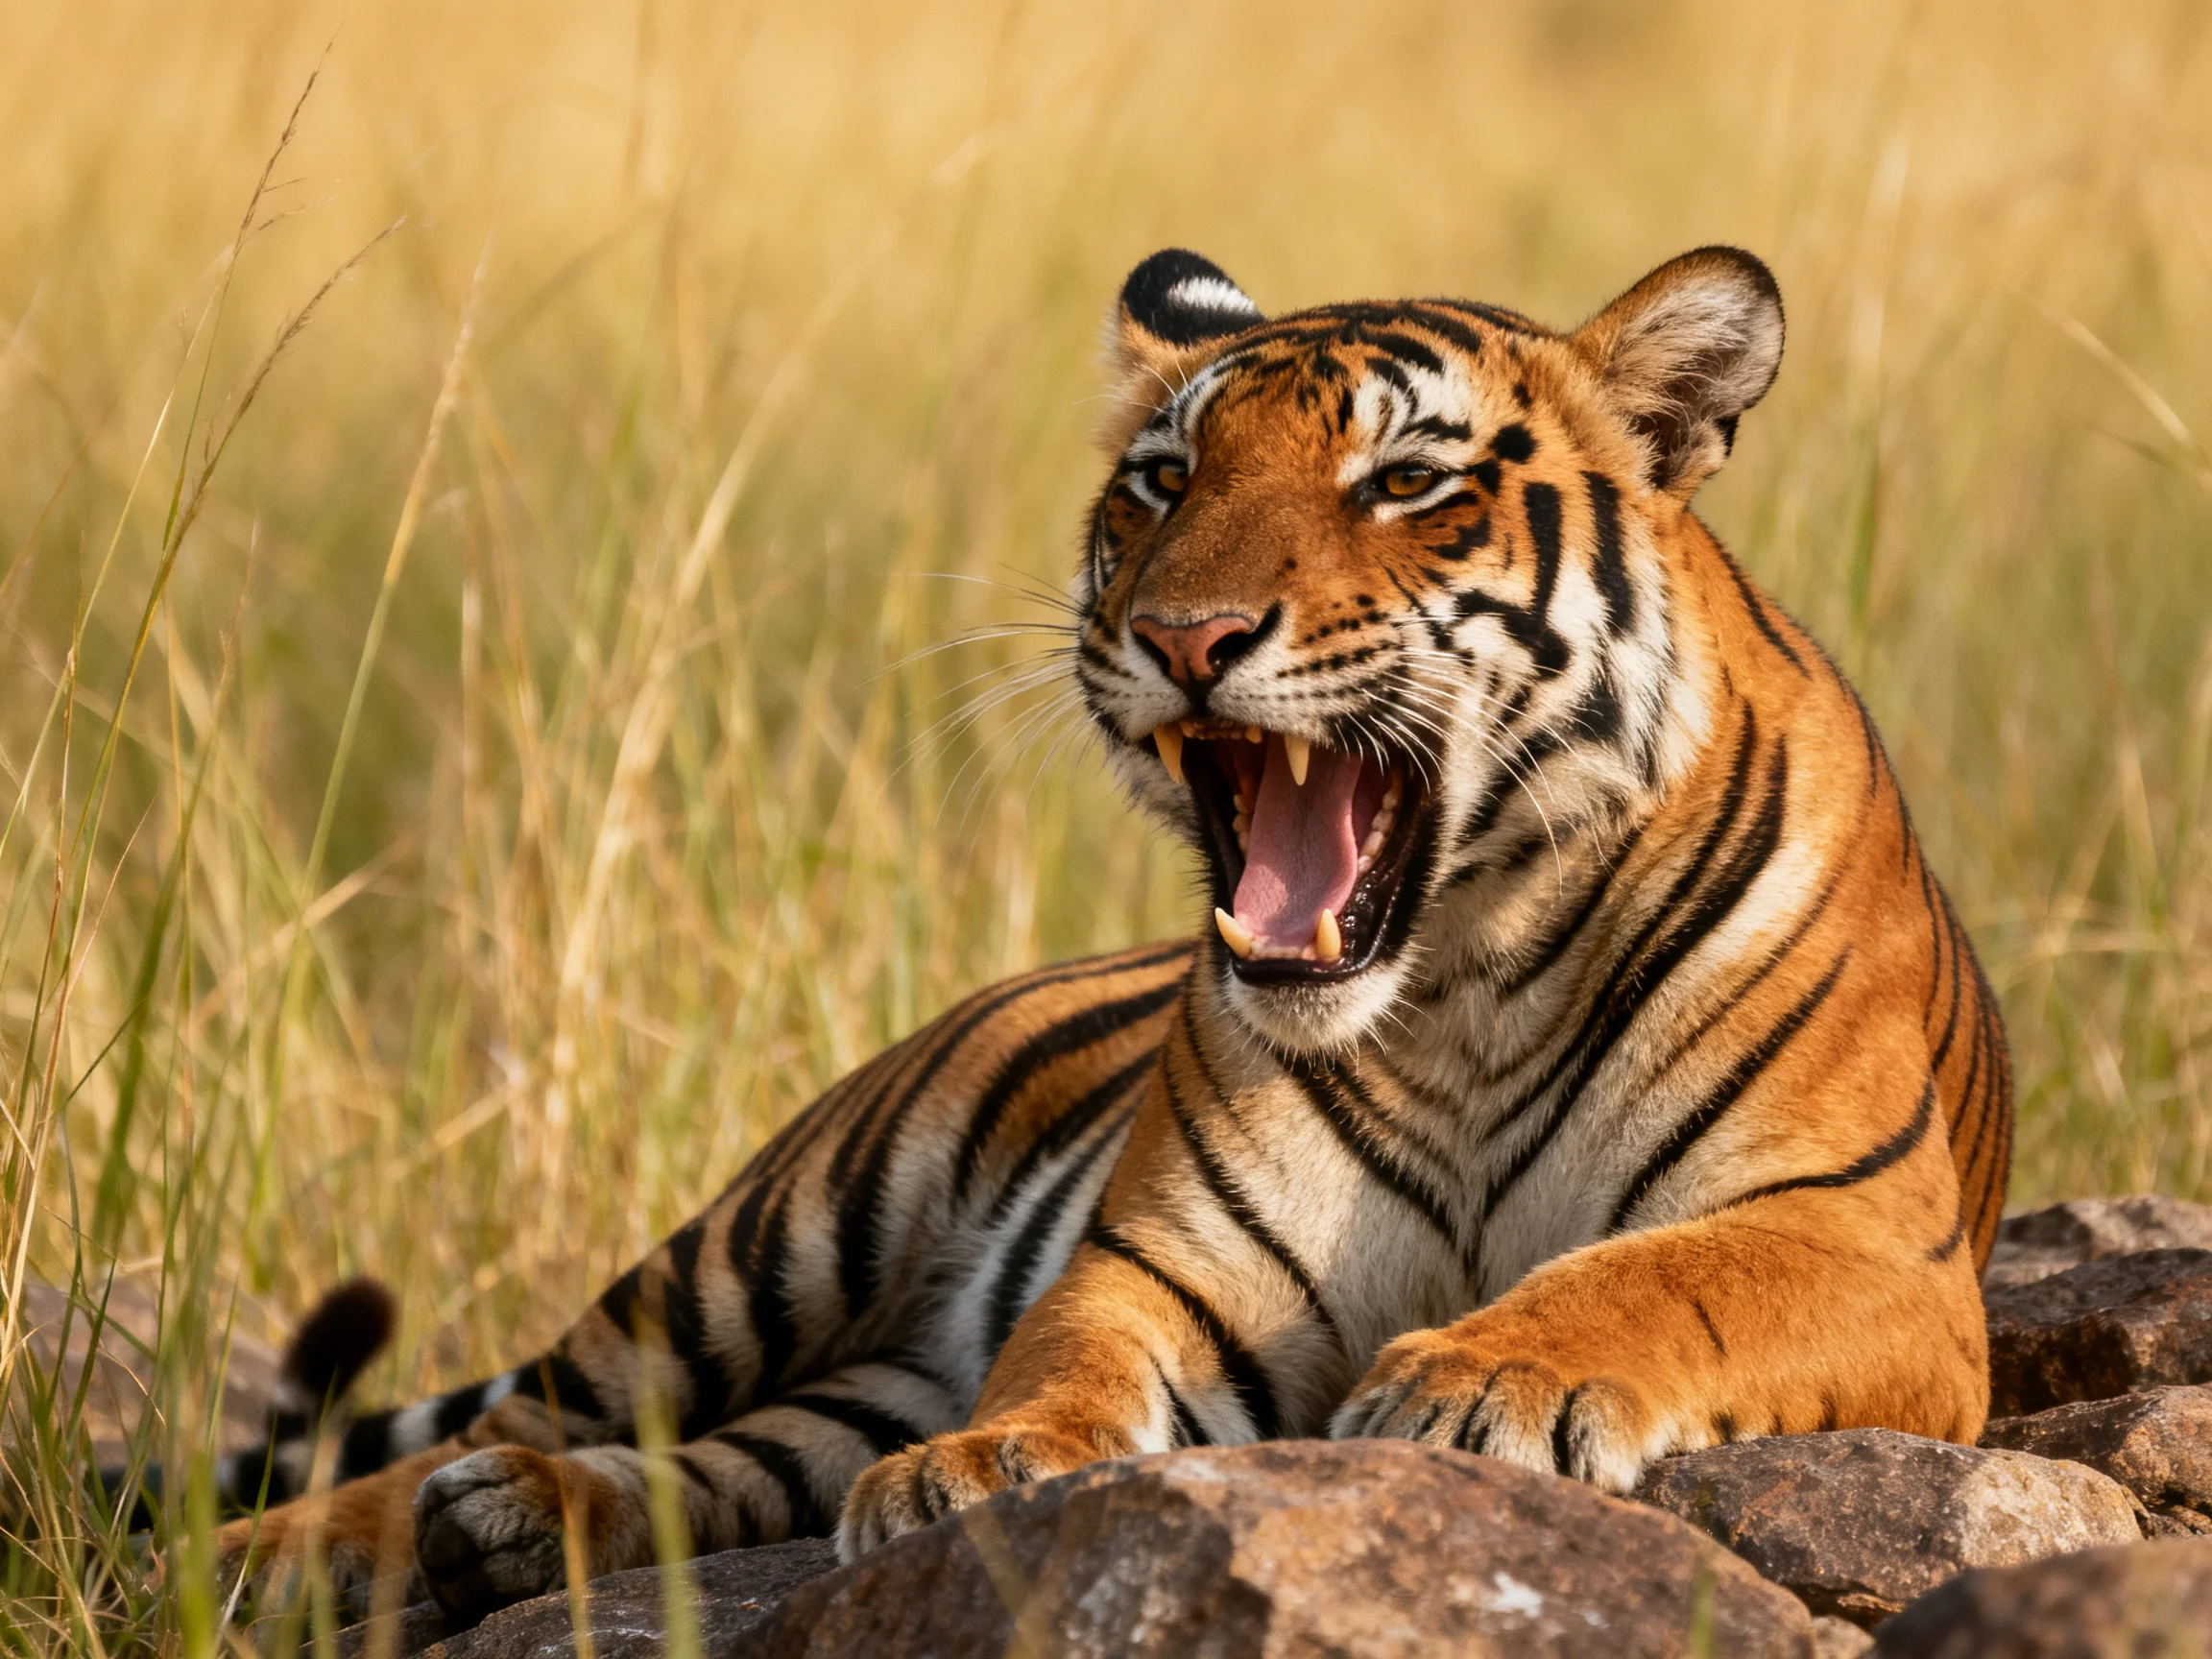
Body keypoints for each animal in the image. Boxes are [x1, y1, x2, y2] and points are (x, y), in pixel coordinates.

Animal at [213, 245, 2011, 1625]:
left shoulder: (1859, 1237)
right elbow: (1072, 1356)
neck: (1467, 973)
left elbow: (1659, 1276)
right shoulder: (1174, 1260)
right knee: (508, 1410)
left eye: (1405, 483)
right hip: (766, 1241)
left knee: (726, 1456)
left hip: (842, 1355)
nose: (1185, 635)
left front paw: (1478, 1382)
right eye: (1165, 478)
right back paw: (307, 1549)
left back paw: (503, 1521)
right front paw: (984, 1471)